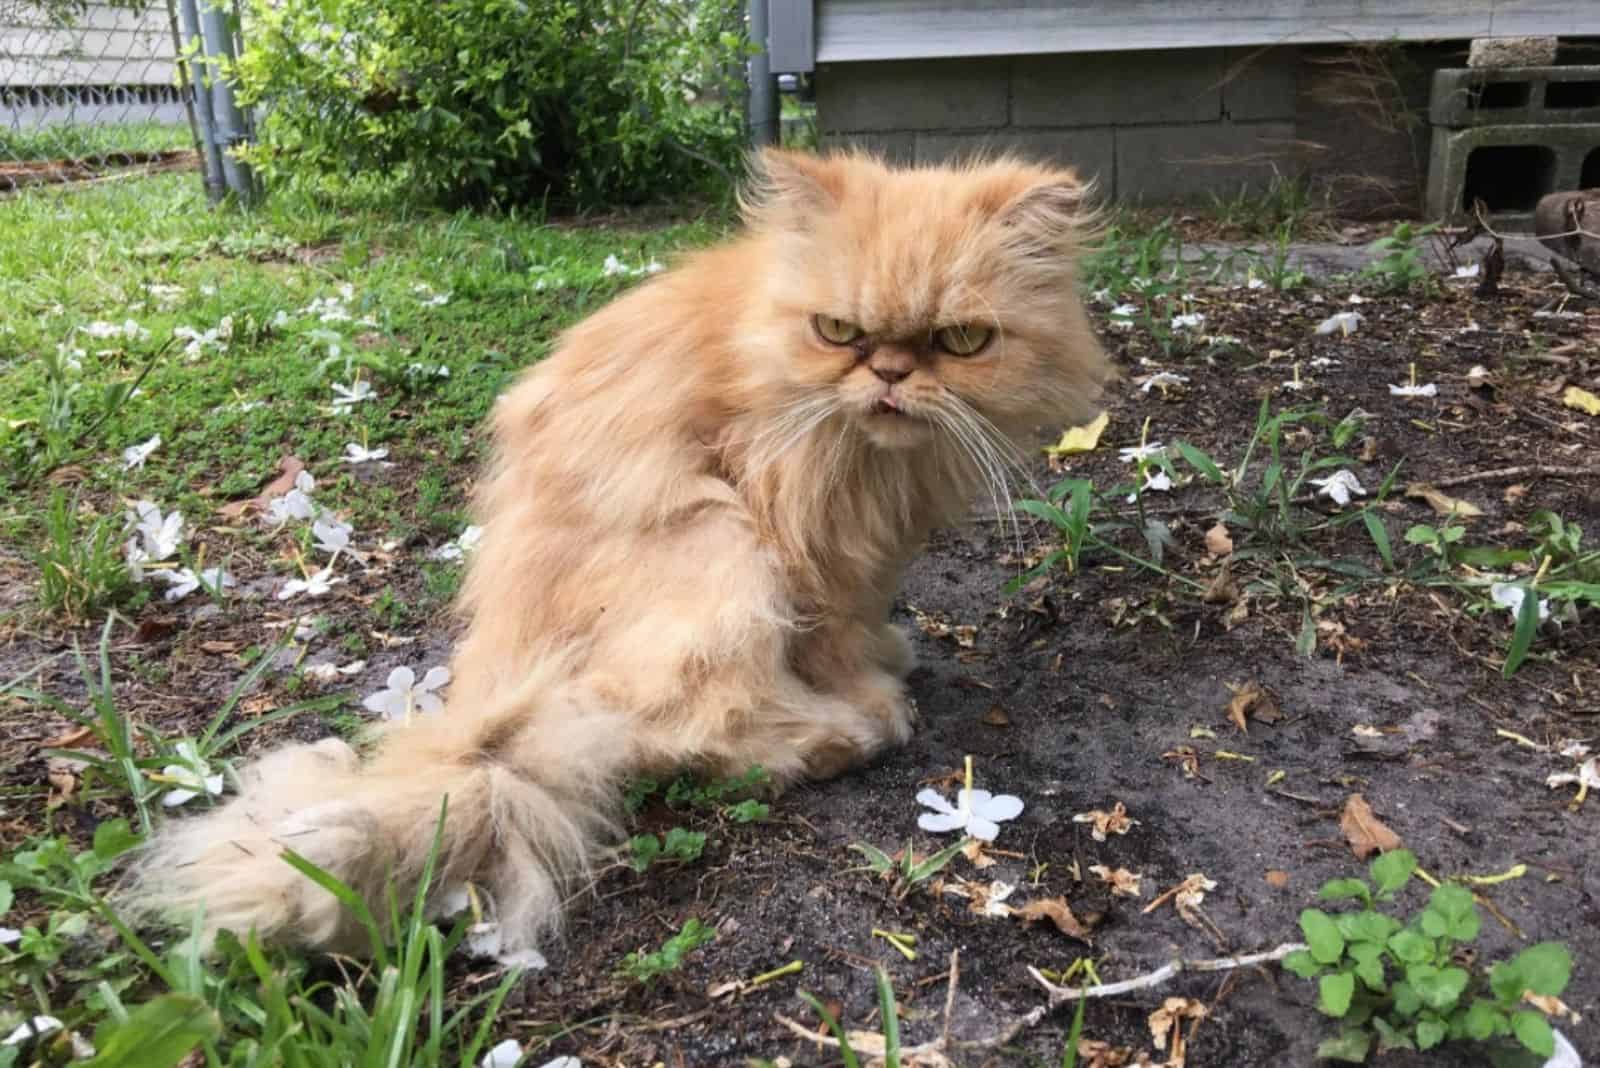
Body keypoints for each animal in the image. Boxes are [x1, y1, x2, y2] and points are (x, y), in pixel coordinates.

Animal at [131, 147, 1113, 952]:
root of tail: (496, 704)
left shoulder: (872, 549)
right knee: (685, 729)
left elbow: (865, 619)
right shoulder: (805, 542)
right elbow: (828, 642)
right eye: (837, 332)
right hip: (718, 549)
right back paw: (843, 735)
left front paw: (889, 652)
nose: (892, 375)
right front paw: (870, 691)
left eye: (961, 341)